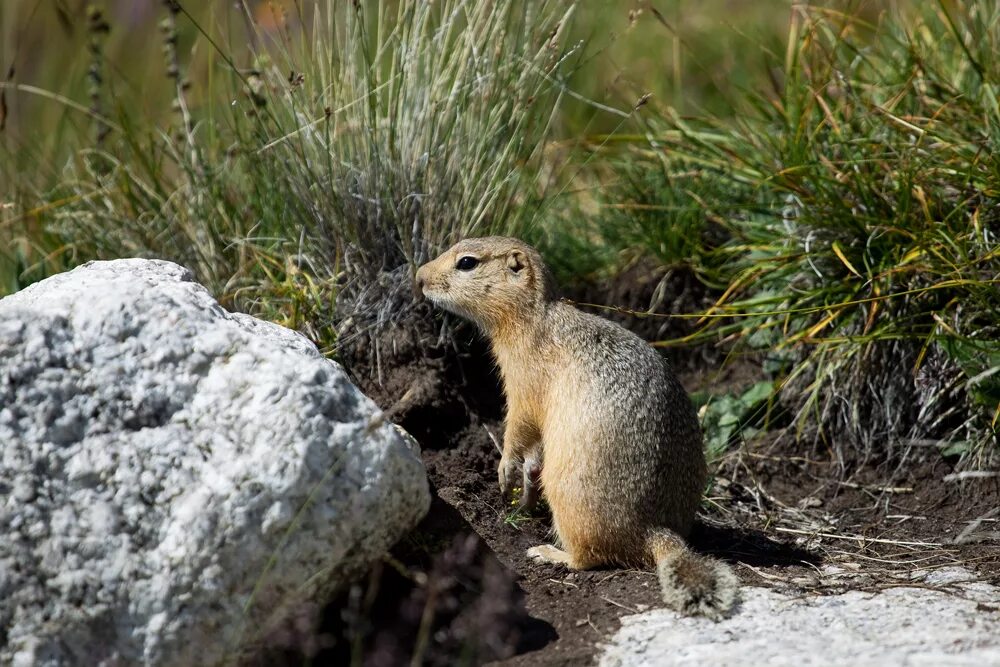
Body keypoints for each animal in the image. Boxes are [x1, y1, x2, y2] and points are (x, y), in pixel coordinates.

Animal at [416, 236, 744, 620]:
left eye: (467, 262)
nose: (419, 277)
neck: (532, 317)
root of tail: (655, 531)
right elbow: (532, 445)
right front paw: (524, 486)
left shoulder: (523, 381)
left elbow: (519, 425)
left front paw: (504, 470)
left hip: (569, 497)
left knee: (589, 557)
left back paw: (550, 553)